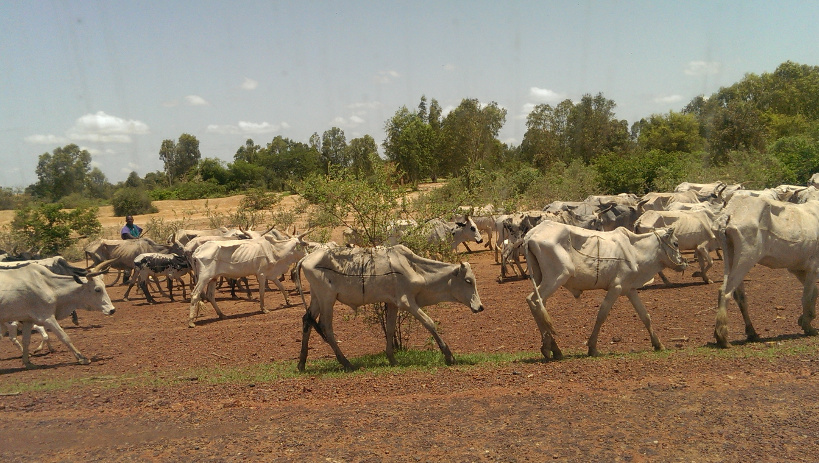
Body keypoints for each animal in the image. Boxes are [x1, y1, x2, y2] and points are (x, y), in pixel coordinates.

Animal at [298, 246, 484, 374]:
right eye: (468, 281)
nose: (480, 307)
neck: (414, 268)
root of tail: (306, 258)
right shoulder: (406, 302)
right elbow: (429, 323)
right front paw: (449, 356)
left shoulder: (393, 303)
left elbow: (389, 329)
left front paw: (392, 359)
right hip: (327, 299)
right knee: (326, 327)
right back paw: (346, 363)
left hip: (317, 298)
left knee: (307, 321)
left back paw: (302, 363)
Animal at [524, 223, 688, 360]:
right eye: (676, 243)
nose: (684, 262)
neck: (635, 250)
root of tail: (531, 233)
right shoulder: (616, 288)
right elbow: (601, 315)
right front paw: (592, 348)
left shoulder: (630, 289)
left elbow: (645, 316)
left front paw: (658, 344)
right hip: (558, 276)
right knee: (534, 300)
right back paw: (550, 348)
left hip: (541, 278)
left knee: (538, 304)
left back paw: (552, 348)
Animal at [712, 196, 819, 348]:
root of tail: (729, 213)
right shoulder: (813, 267)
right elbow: (807, 296)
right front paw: (807, 326)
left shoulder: (797, 268)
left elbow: (814, 291)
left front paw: (807, 318)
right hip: (746, 258)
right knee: (725, 291)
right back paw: (723, 337)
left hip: (731, 256)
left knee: (740, 297)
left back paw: (752, 333)